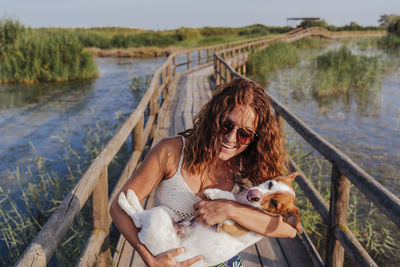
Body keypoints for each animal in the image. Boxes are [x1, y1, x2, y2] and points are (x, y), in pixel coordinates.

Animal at [117, 173, 302, 266]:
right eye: (270, 184)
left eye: (274, 203)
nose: (254, 195)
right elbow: (234, 196)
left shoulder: (226, 224)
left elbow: (231, 201)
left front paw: (214, 193)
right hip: (168, 213)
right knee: (140, 217)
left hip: (158, 217)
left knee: (138, 218)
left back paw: (126, 199)